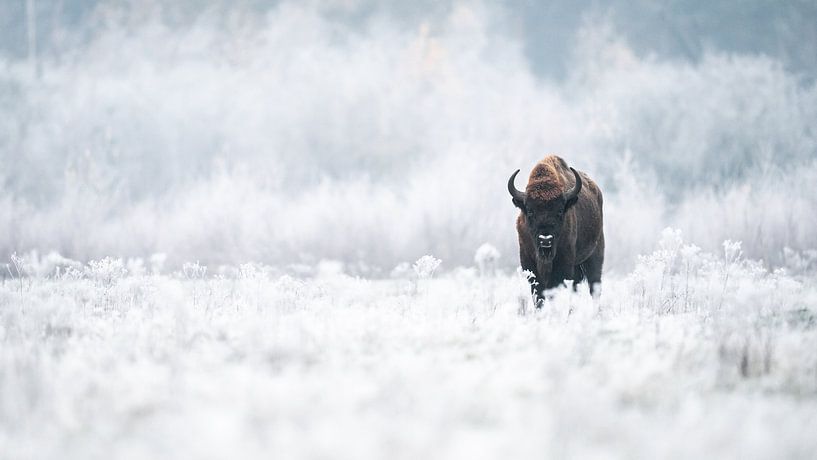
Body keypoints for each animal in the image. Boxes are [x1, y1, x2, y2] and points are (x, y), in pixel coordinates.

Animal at [507, 155, 604, 303]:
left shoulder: (563, 264)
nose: (545, 240)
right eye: (530, 211)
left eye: (559, 211)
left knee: (595, 288)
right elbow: (539, 293)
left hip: (595, 256)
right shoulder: (529, 263)